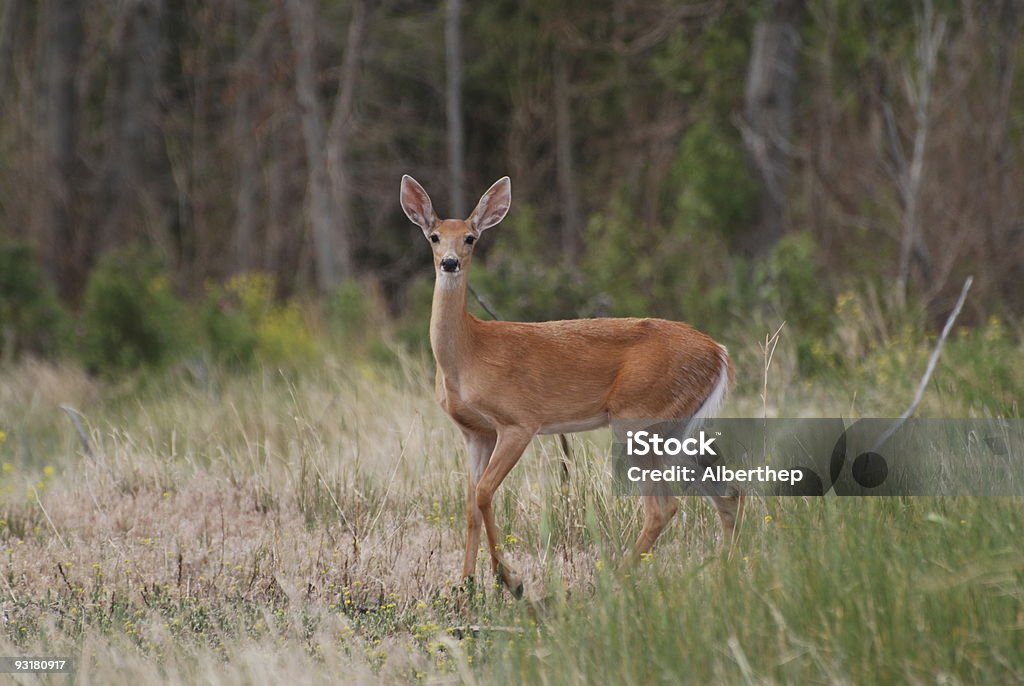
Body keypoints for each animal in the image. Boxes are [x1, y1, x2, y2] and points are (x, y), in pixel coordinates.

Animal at [399, 175, 745, 597]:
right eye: (433, 236)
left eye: (470, 238)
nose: (449, 263)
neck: (468, 353)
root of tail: (719, 352)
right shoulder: (474, 432)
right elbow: (468, 505)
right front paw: (464, 585)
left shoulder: (519, 421)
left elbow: (483, 493)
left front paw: (510, 579)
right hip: (677, 427)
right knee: (728, 492)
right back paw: (726, 572)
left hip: (640, 417)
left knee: (663, 508)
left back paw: (612, 582)